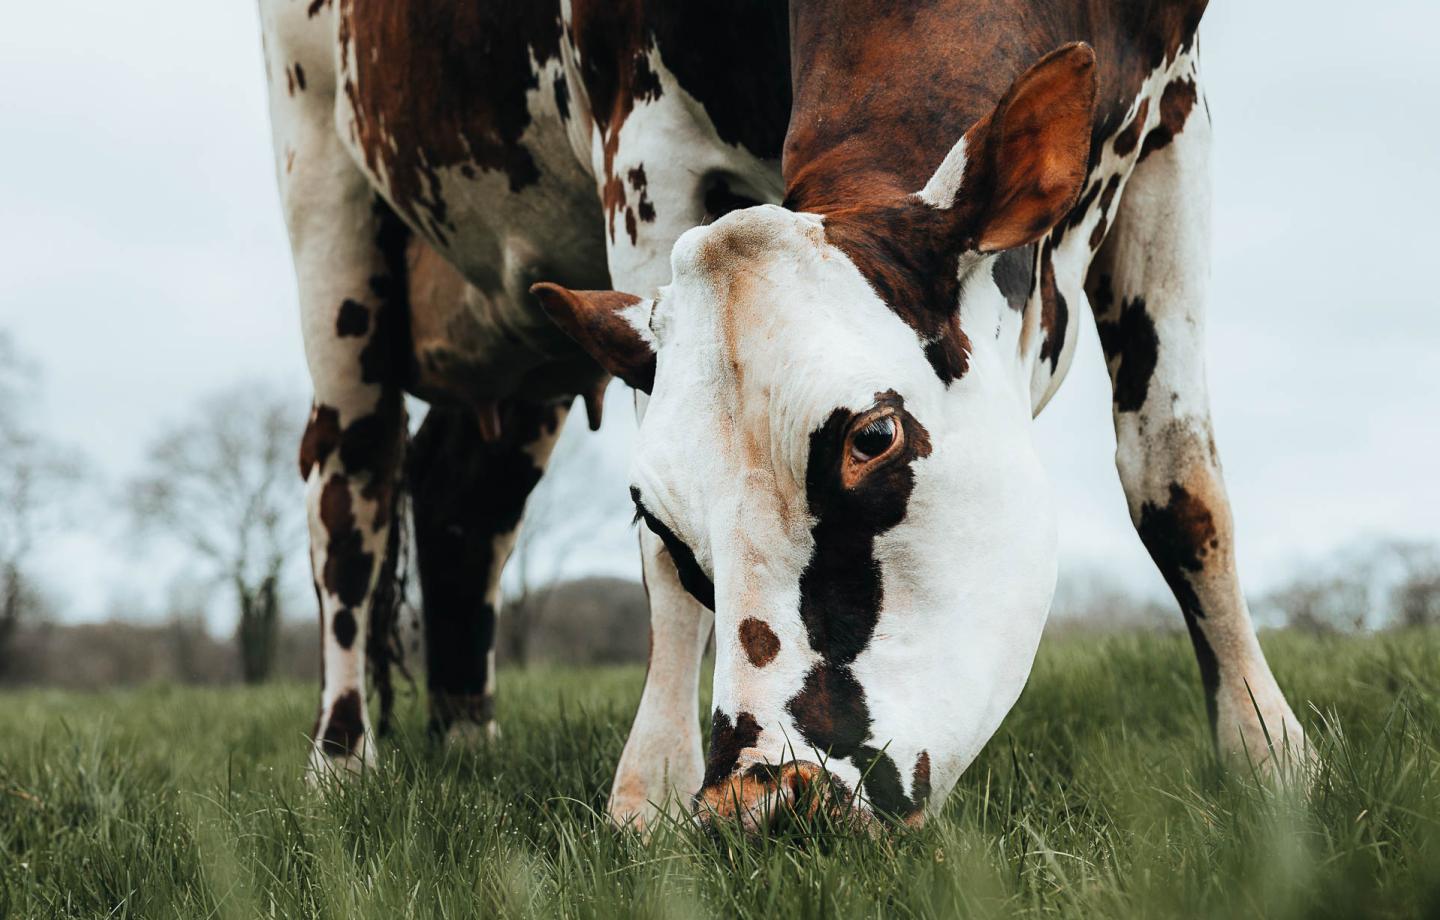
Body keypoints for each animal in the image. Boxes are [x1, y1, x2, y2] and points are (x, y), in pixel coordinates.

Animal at [259, 0, 1304, 831]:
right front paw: (650, 795)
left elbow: (1176, 481)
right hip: (326, 200)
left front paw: (1267, 752)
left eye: (873, 437)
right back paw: (340, 766)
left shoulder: (1175, 118)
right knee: (349, 493)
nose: (763, 797)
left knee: (459, 503)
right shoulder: (643, 145)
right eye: (656, 515)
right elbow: (662, 588)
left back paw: (467, 741)